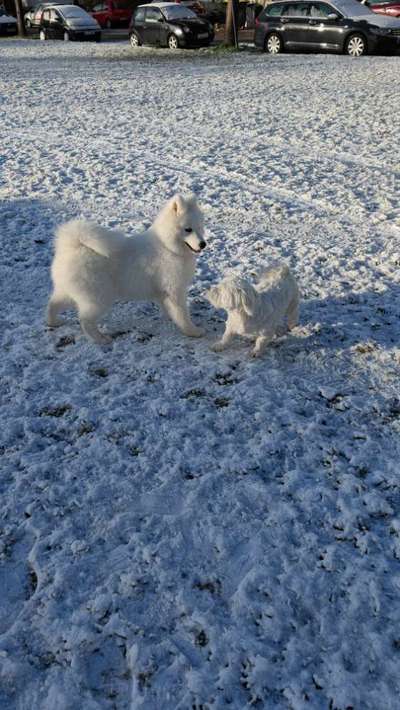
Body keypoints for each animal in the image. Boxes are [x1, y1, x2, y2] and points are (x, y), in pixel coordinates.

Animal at [47, 195, 206, 344]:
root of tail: (73, 247)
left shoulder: (162, 292)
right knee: (85, 321)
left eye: (200, 228)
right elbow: (182, 314)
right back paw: (101, 339)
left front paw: (171, 319)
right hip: (98, 298)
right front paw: (192, 331)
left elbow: (169, 309)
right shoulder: (174, 290)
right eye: (188, 229)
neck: (167, 246)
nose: (203, 244)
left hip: (68, 292)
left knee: (52, 304)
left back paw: (53, 322)